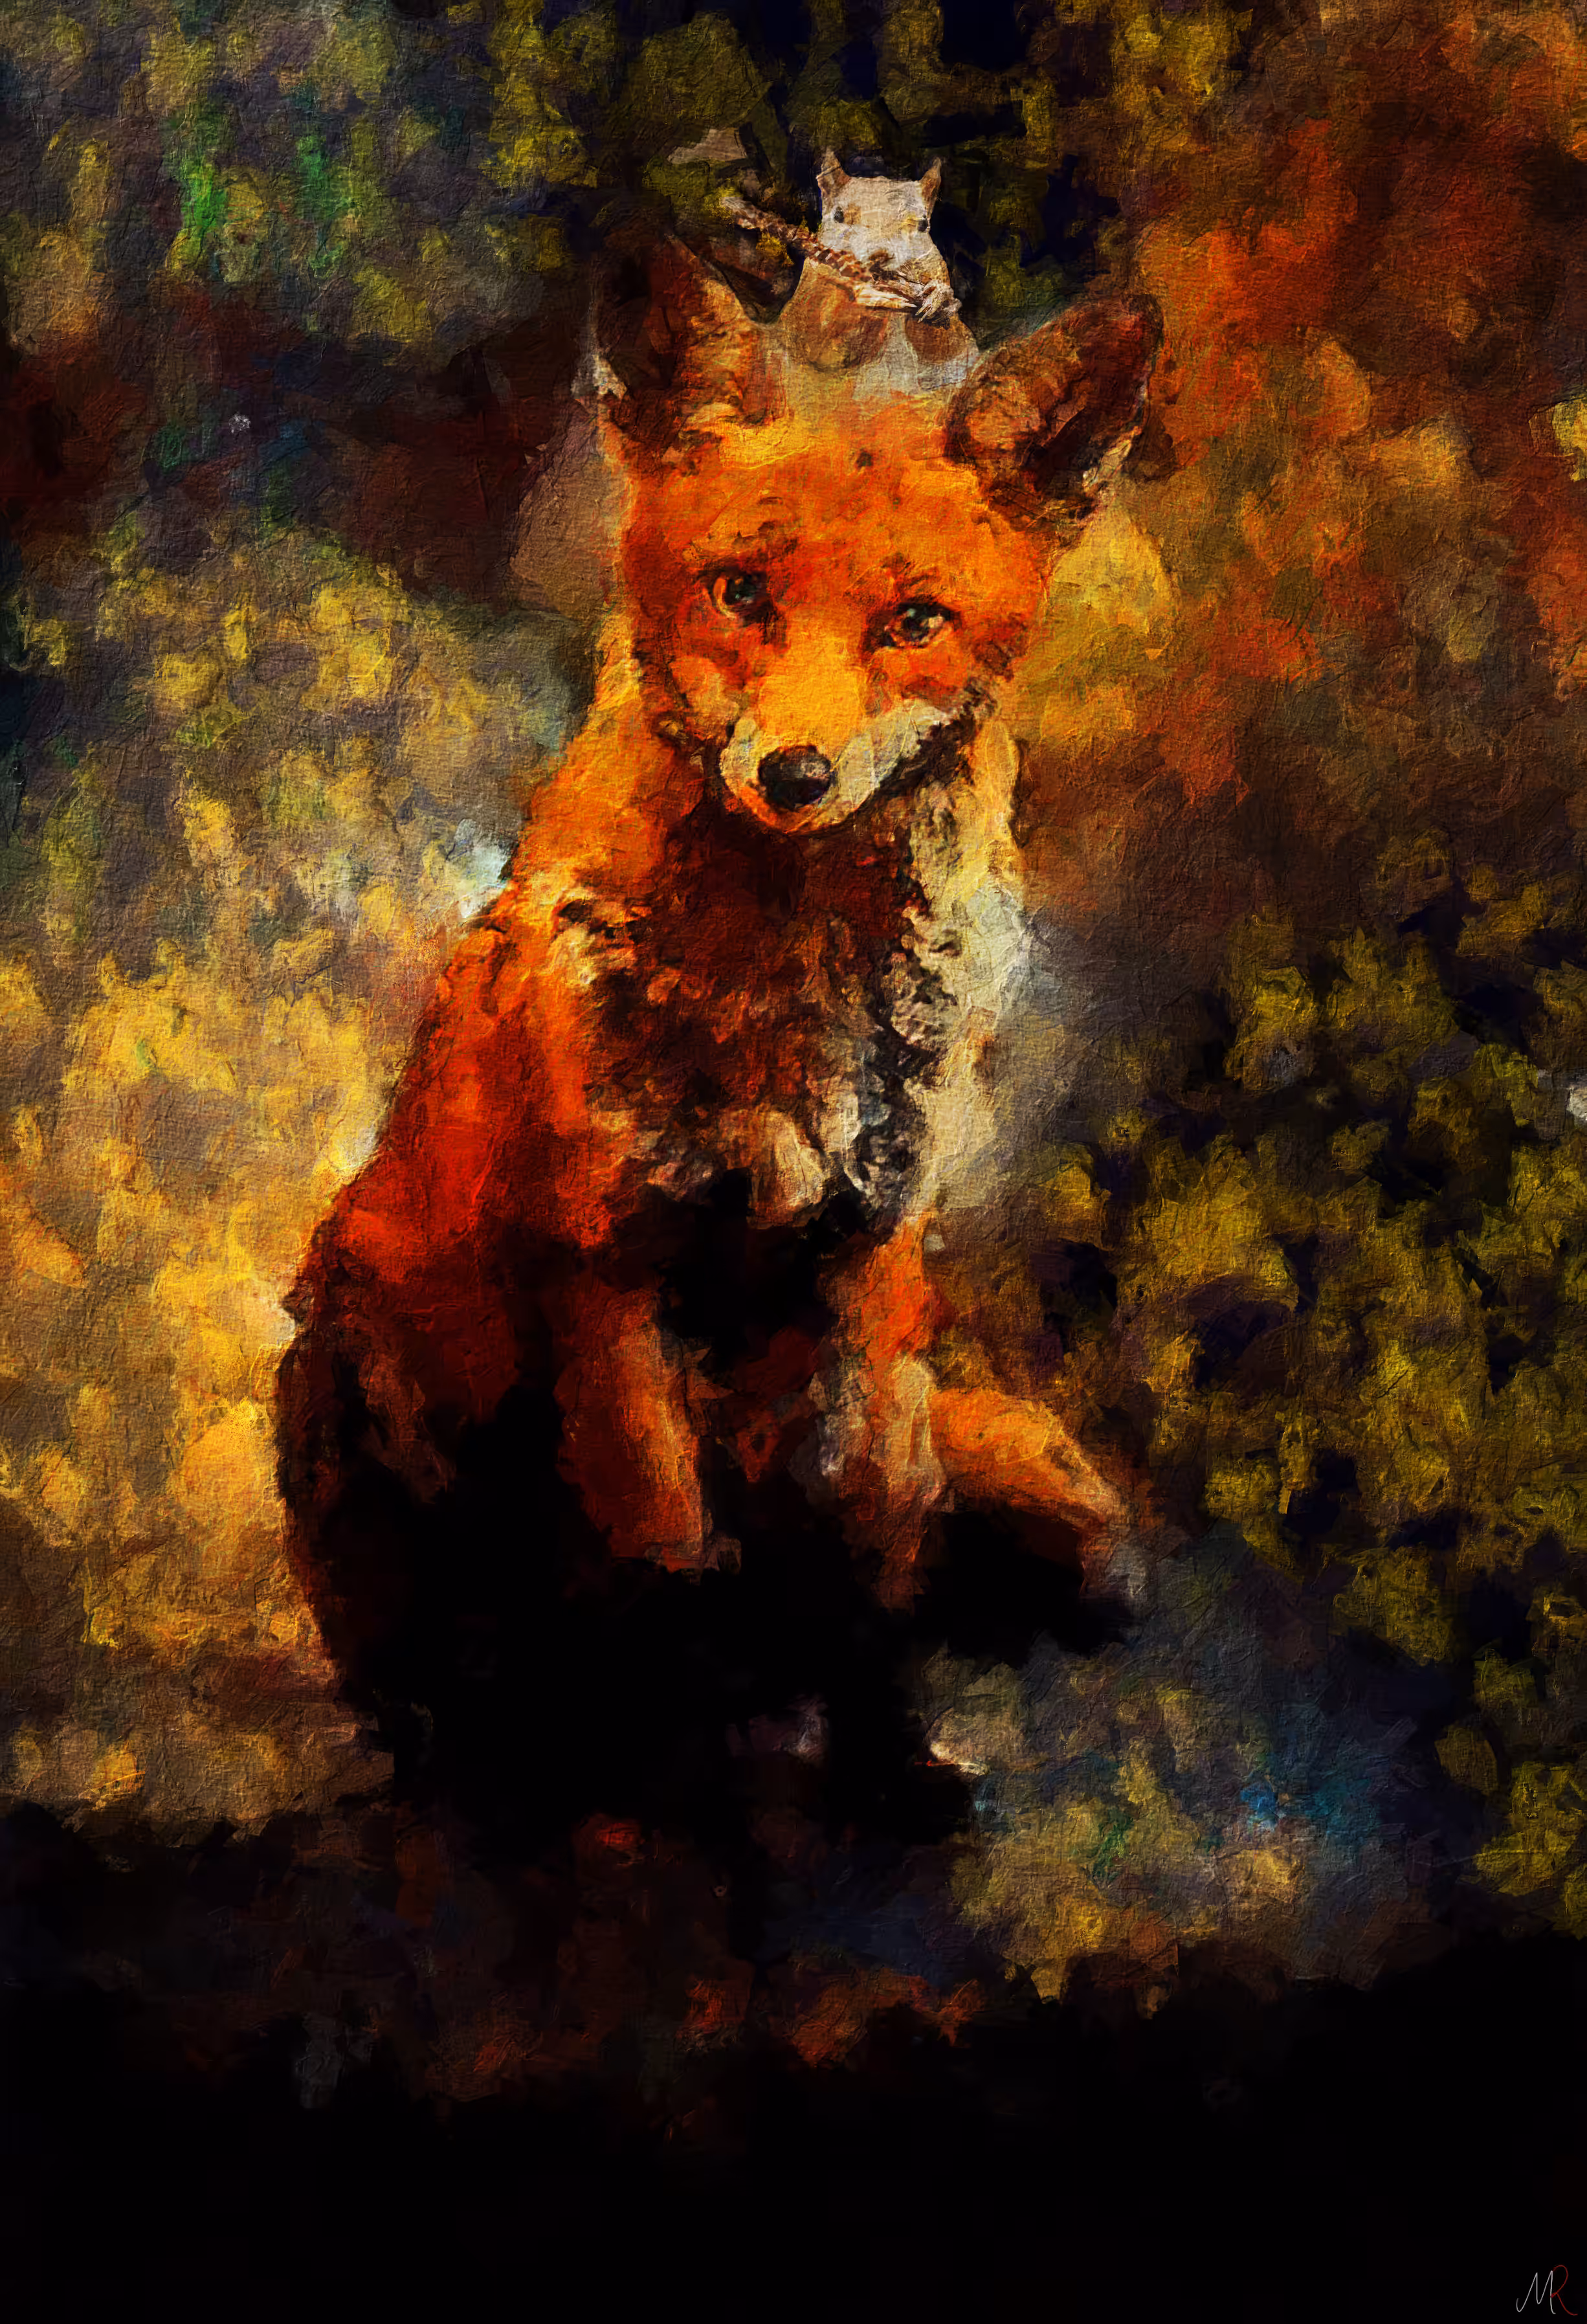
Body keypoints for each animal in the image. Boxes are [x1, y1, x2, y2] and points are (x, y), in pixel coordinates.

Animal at [277, 243, 1159, 1745]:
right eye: (739, 591)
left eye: (913, 623)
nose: (794, 775)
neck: (785, 1004)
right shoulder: (607, 1265)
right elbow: (664, 1550)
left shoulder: (874, 1249)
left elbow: (873, 1522)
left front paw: (878, 1731)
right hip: (354, 1351)